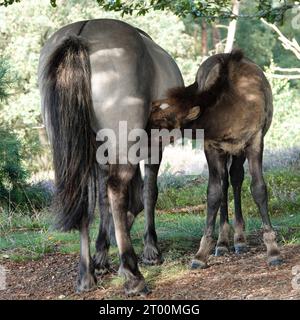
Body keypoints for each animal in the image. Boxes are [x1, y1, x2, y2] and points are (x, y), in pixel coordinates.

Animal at [38, 18, 184, 296]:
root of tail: (81, 34)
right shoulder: (154, 146)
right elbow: (147, 193)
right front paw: (149, 250)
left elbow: (105, 202)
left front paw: (102, 253)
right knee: (117, 191)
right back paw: (133, 274)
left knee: (85, 196)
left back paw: (86, 274)